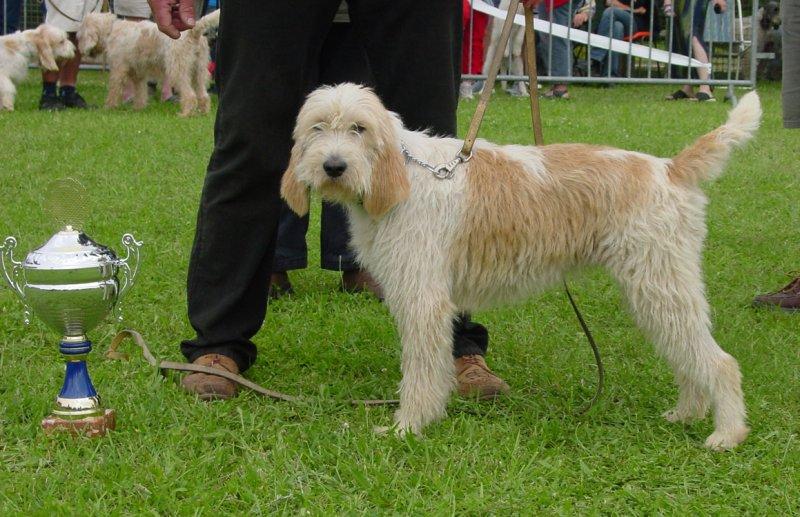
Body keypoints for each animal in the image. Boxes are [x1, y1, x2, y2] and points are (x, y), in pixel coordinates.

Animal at [77, 10, 219, 117]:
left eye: (80, 35)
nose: (79, 49)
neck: (111, 30)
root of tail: (193, 31)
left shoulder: (118, 71)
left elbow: (114, 90)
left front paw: (108, 107)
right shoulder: (138, 74)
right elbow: (140, 92)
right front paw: (138, 108)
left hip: (178, 71)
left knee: (190, 95)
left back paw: (185, 114)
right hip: (199, 72)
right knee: (203, 95)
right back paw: (203, 113)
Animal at [282, 82, 764, 450]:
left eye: (359, 129)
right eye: (317, 128)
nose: (334, 166)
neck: (403, 174)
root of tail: (669, 169)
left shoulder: (424, 300)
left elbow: (420, 370)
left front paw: (408, 427)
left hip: (658, 287)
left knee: (720, 362)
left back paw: (727, 434)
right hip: (657, 292)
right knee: (688, 356)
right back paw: (686, 413)